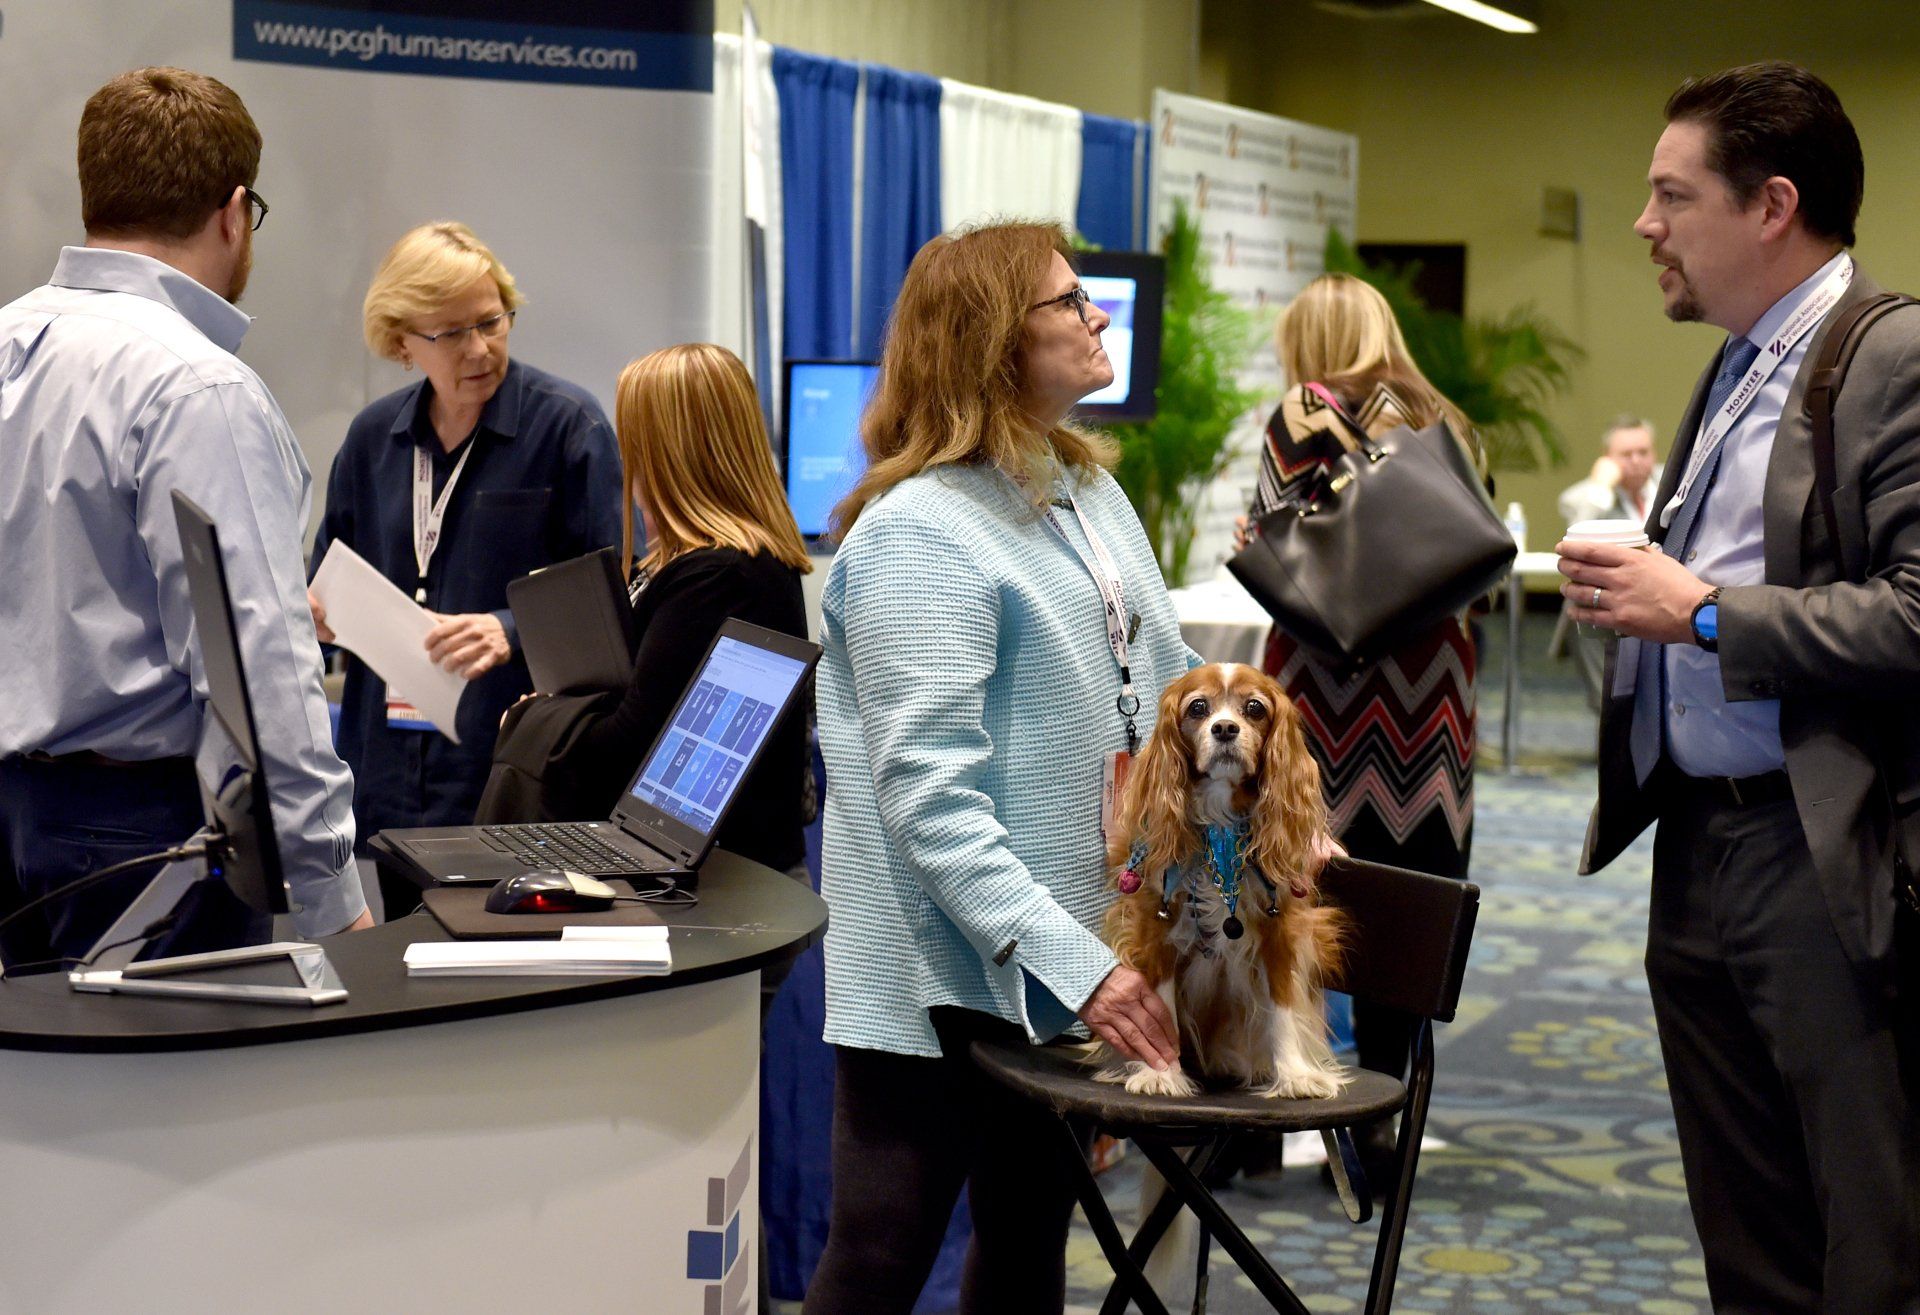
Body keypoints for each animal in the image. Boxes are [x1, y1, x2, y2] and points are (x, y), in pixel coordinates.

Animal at [1098, 660, 1351, 1105]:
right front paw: (1161, 1072)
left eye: (1254, 708)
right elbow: (1158, 1009)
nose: (1225, 728)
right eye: (1198, 707)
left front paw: (1295, 1075)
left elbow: (1283, 1005)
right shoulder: (1154, 922)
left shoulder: (1280, 926)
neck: (1219, 828)